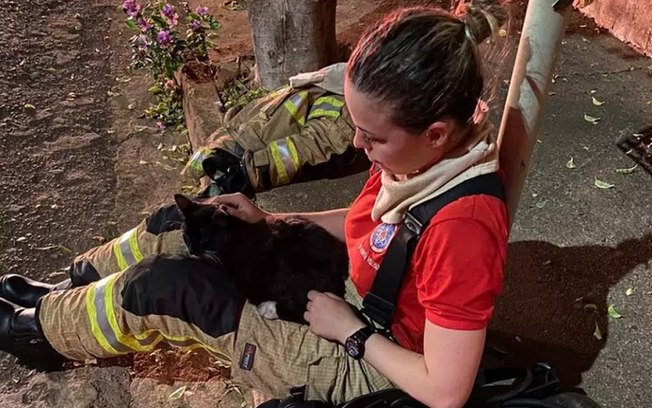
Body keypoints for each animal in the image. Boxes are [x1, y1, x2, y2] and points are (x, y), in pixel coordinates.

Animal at [171, 194, 348, 326]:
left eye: (204, 238)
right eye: (187, 235)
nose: (192, 250)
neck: (234, 232)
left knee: (304, 312)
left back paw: (268, 308)